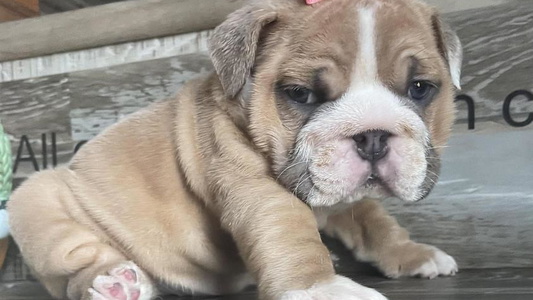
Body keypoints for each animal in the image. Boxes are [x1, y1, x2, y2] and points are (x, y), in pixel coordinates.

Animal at [10, 0, 462, 298]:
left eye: (419, 88)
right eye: (300, 94)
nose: (372, 135)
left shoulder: (348, 198)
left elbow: (375, 223)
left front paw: (412, 253)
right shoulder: (257, 187)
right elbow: (289, 233)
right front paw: (322, 288)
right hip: (38, 203)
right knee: (74, 268)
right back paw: (115, 283)